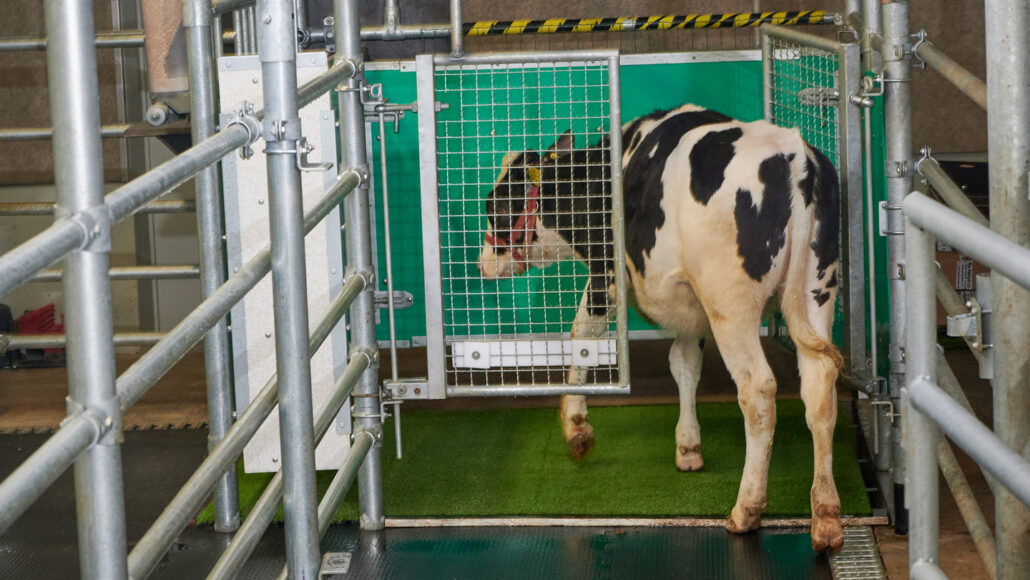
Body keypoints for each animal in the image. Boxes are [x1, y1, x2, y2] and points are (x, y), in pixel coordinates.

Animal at [473, 104, 844, 552]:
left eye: (496, 206)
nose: (481, 263)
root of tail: (794, 155)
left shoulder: (607, 276)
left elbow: (582, 335)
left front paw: (576, 426)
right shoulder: (687, 305)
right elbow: (684, 364)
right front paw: (688, 447)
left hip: (730, 305)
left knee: (757, 392)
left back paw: (747, 509)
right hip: (816, 290)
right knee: (820, 387)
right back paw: (826, 516)